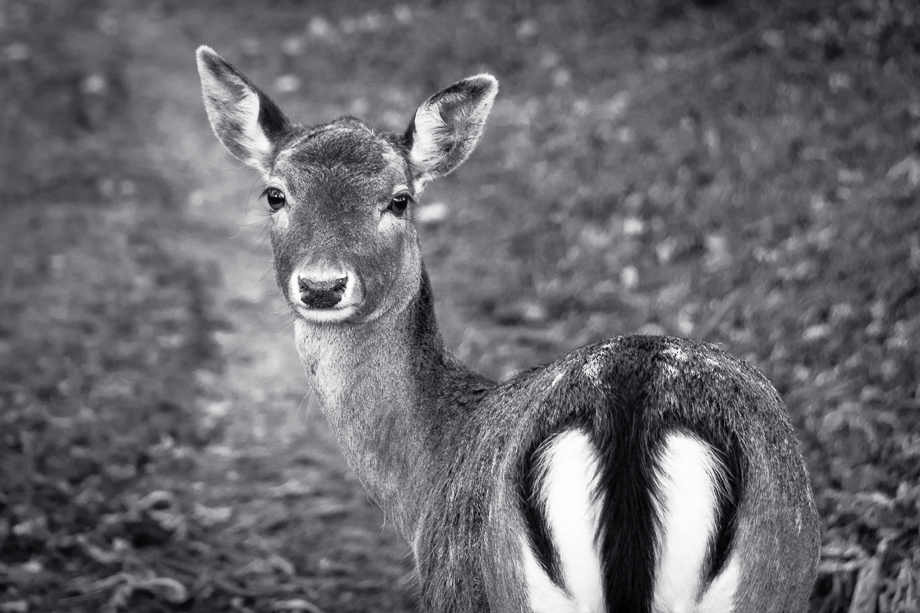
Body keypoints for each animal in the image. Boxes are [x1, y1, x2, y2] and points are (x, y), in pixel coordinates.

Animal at [198, 47, 824, 612]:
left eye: (399, 200)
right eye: (275, 194)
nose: (323, 285)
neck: (426, 484)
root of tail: (635, 413)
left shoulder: (453, 592)